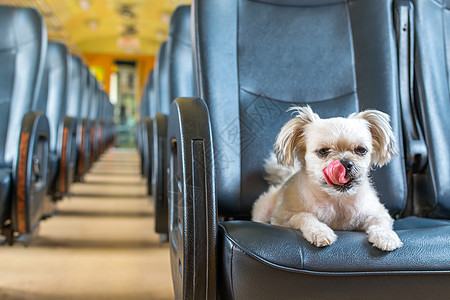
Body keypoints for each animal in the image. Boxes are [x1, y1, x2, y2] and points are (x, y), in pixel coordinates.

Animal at [253, 105, 404, 251]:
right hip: (263, 210)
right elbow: (304, 215)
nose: (345, 163)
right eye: (323, 151)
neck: (336, 200)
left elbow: (381, 223)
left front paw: (386, 237)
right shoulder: (282, 217)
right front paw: (319, 232)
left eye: (361, 150)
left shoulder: (378, 213)